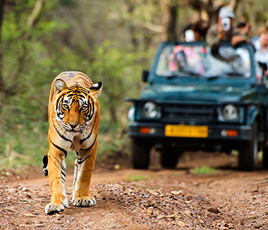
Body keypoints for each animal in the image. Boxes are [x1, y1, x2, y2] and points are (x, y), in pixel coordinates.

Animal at [43, 71, 102, 215]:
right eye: (66, 106)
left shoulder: (89, 148)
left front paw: (83, 197)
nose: (73, 125)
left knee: (77, 165)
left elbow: (84, 173)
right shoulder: (56, 150)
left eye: (83, 108)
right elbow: (56, 177)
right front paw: (56, 204)